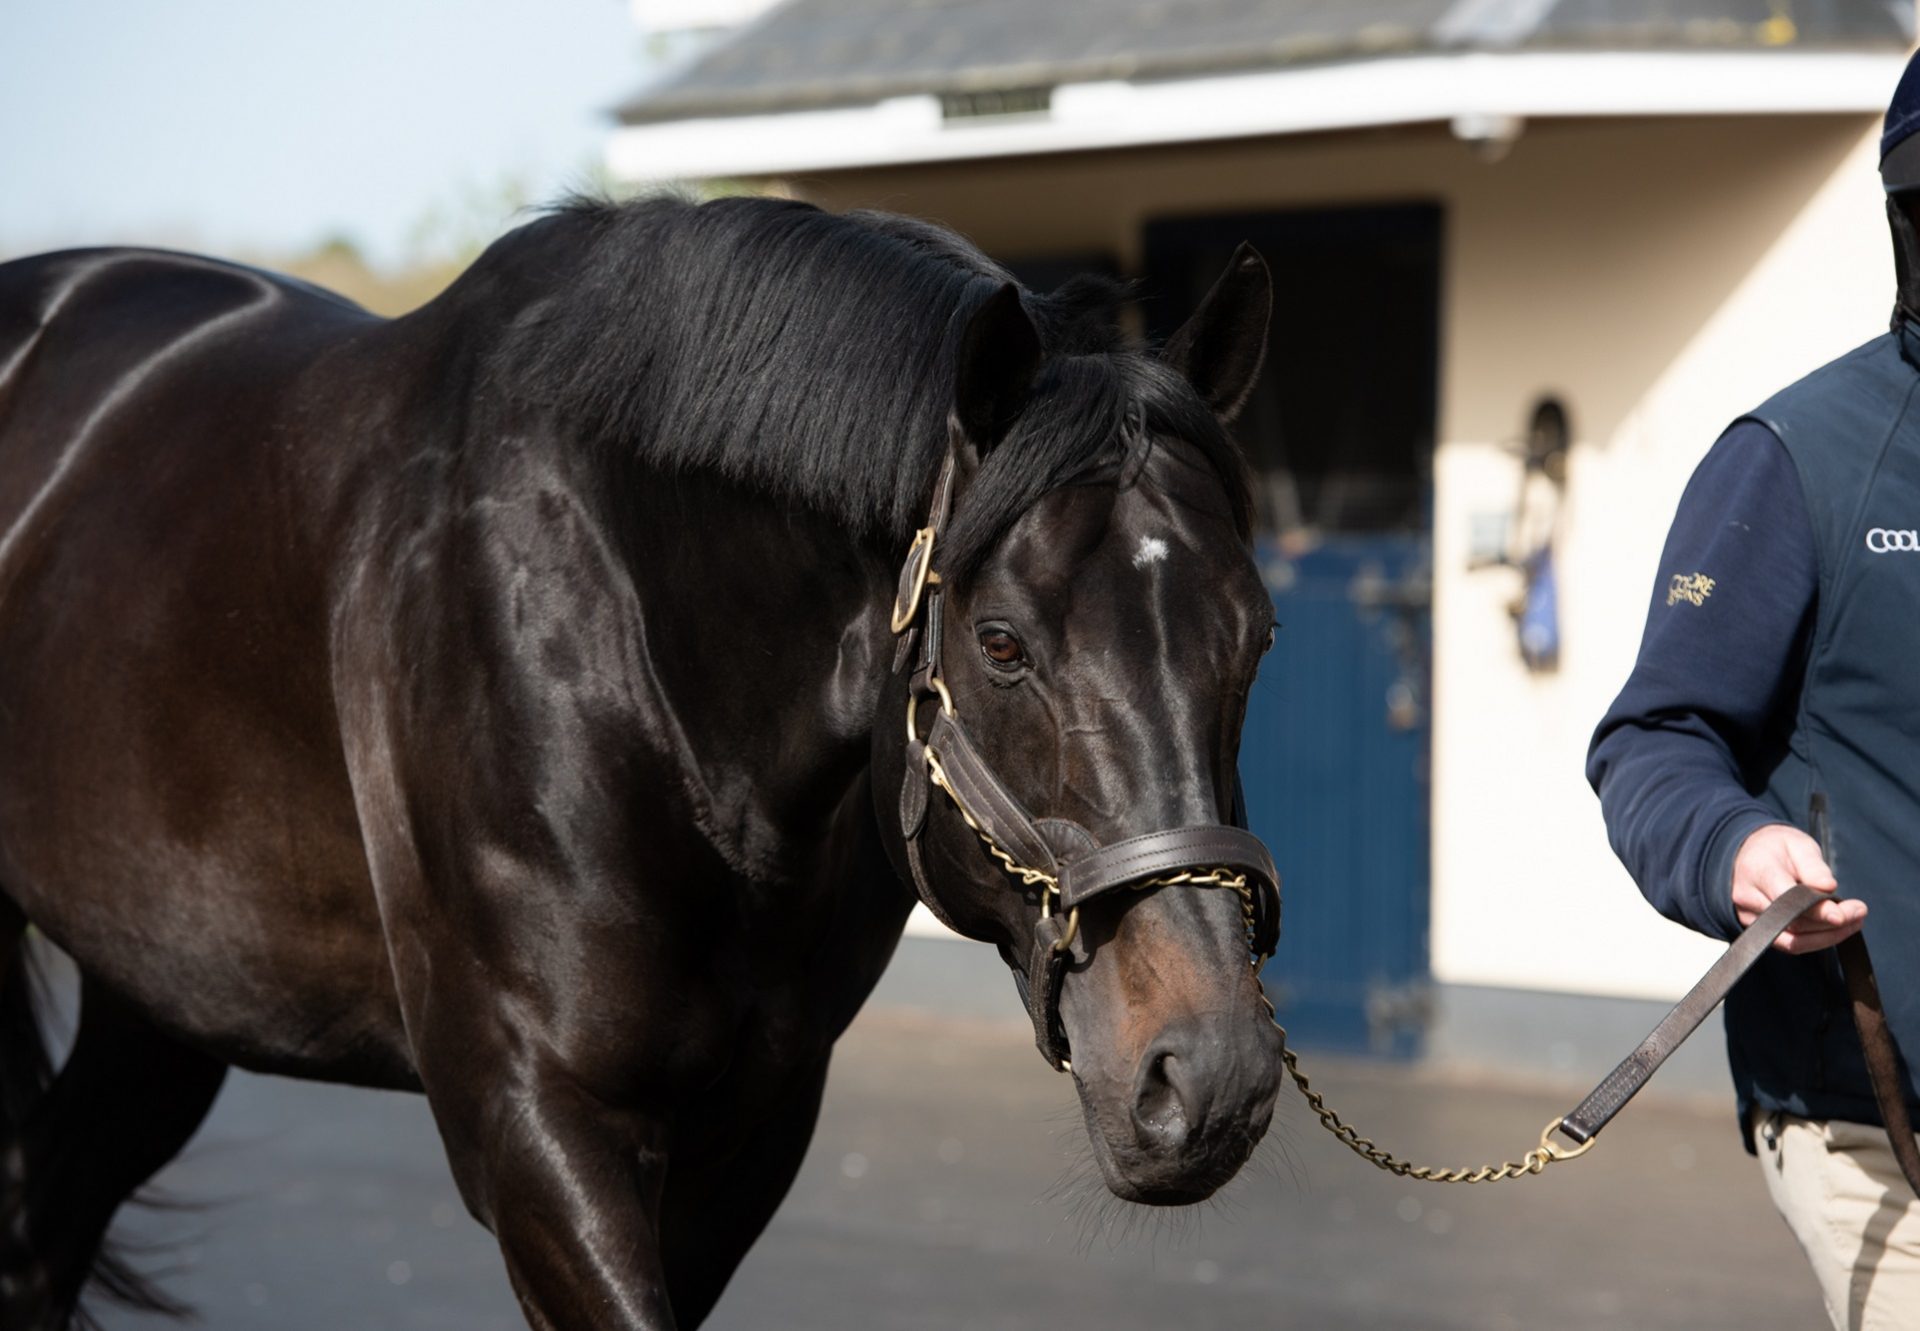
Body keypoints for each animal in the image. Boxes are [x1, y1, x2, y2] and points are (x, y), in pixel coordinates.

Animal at [3, 199, 1290, 1329]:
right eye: (1004, 642)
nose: (1209, 1076)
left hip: (165, 988)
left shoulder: (752, 1123)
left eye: (1259, 634)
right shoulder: (536, 1119)